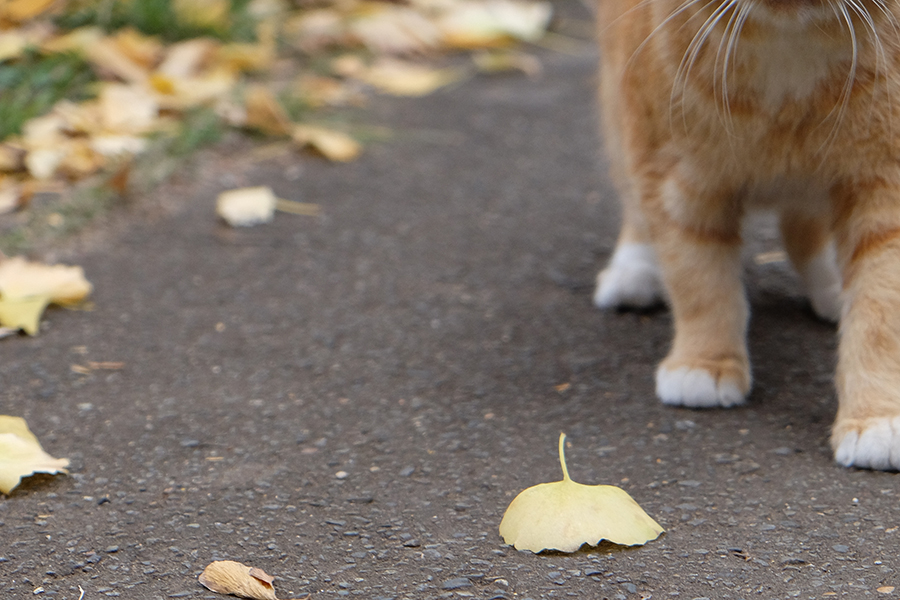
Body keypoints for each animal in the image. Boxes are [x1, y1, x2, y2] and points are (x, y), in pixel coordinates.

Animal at [596, 0, 900, 468]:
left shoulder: (884, 188)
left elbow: (880, 316)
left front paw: (876, 418)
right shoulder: (677, 181)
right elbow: (699, 280)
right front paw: (705, 364)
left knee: (802, 228)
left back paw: (831, 287)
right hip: (622, 104)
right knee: (633, 198)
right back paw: (633, 272)